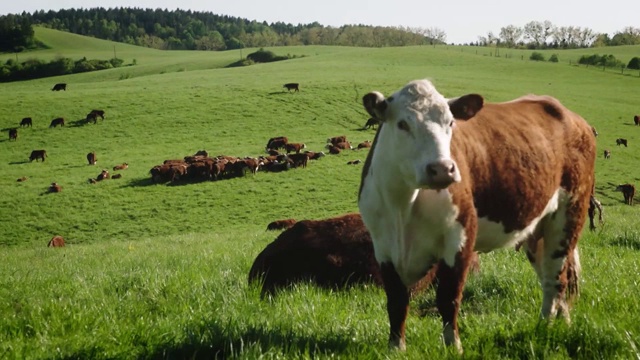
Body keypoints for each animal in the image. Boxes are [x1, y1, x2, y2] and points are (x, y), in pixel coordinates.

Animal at [358, 79, 596, 352]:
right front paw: (396, 347)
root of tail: (575, 119)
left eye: (450, 122)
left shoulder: (461, 237)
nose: (442, 169)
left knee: (558, 277)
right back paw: (555, 324)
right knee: (550, 278)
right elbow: (397, 301)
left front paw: (453, 346)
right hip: (537, 229)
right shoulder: (382, 246)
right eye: (402, 124)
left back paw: (548, 326)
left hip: (569, 216)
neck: (403, 206)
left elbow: (448, 297)